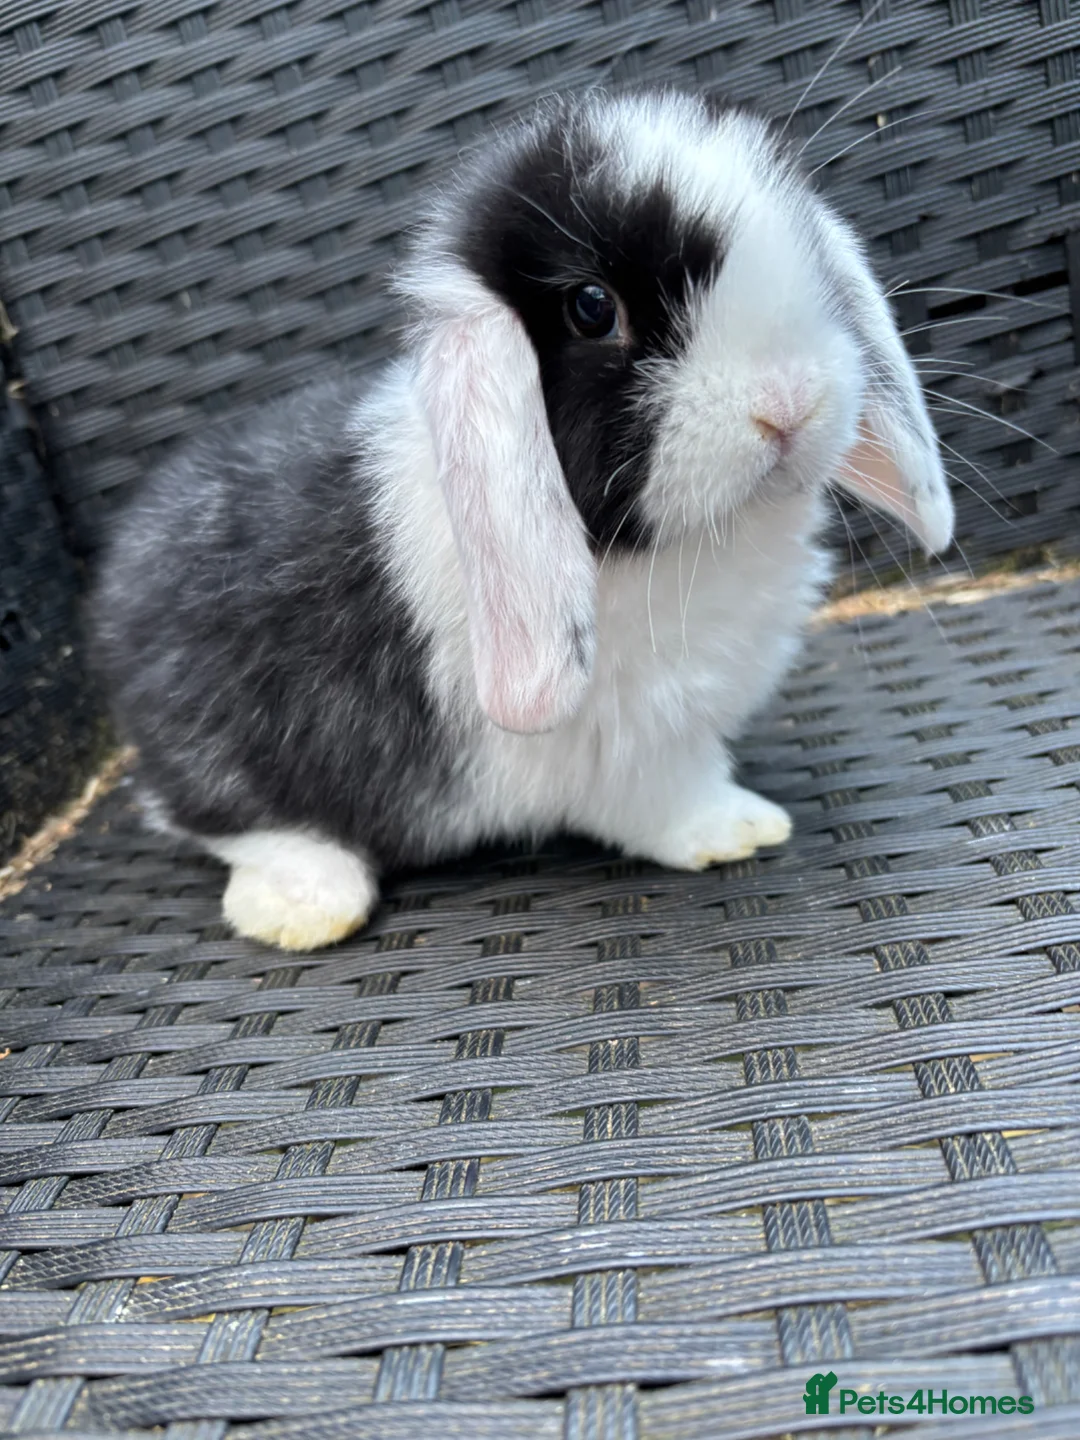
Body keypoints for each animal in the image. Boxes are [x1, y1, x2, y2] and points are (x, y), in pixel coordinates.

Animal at [92, 87, 954, 951]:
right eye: (593, 309)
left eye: (803, 246)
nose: (788, 405)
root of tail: (119, 588)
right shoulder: (633, 748)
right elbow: (670, 802)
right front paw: (738, 829)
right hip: (227, 746)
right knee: (216, 819)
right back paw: (306, 905)